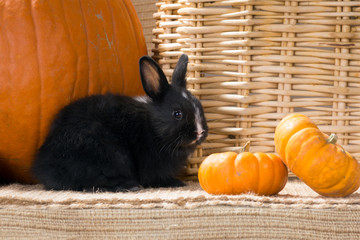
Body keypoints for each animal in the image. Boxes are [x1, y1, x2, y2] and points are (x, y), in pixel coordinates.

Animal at [32, 54, 210, 191]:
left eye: (199, 106)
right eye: (177, 114)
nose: (199, 132)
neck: (152, 127)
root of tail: (44, 165)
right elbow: (155, 177)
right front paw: (174, 183)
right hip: (111, 154)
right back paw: (129, 186)